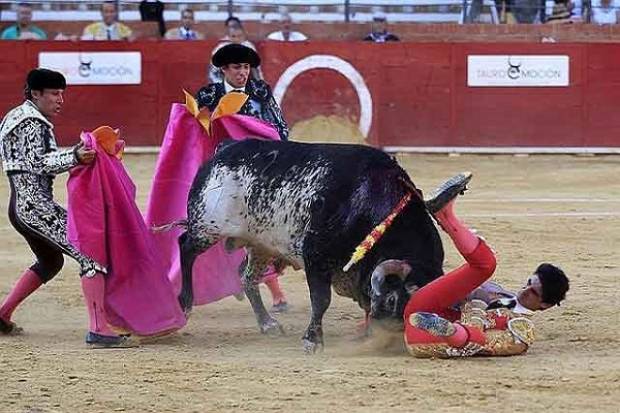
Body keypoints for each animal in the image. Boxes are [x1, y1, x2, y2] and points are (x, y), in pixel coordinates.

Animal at [177, 138, 444, 350]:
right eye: (392, 300)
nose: (392, 338)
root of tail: (225, 148)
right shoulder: (315, 255)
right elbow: (321, 299)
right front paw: (313, 340)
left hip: (260, 244)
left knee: (246, 277)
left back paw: (267, 324)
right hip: (207, 226)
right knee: (186, 247)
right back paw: (186, 302)